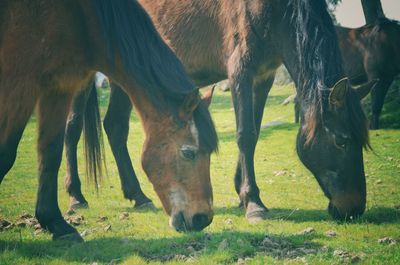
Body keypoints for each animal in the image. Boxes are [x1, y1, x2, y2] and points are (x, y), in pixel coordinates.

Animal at [0, 0, 219, 241]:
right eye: (188, 153)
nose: (202, 218)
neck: (82, 18)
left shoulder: (60, 85)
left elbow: (50, 153)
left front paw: (57, 224)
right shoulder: (21, 82)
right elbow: (7, 153)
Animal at [64, 0, 374, 221]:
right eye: (341, 141)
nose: (353, 208)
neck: (270, 9)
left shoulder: (263, 77)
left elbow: (255, 132)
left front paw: (241, 193)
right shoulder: (240, 71)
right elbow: (245, 134)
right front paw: (254, 203)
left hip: (125, 78)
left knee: (116, 127)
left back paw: (139, 196)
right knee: (72, 128)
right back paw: (76, 196)